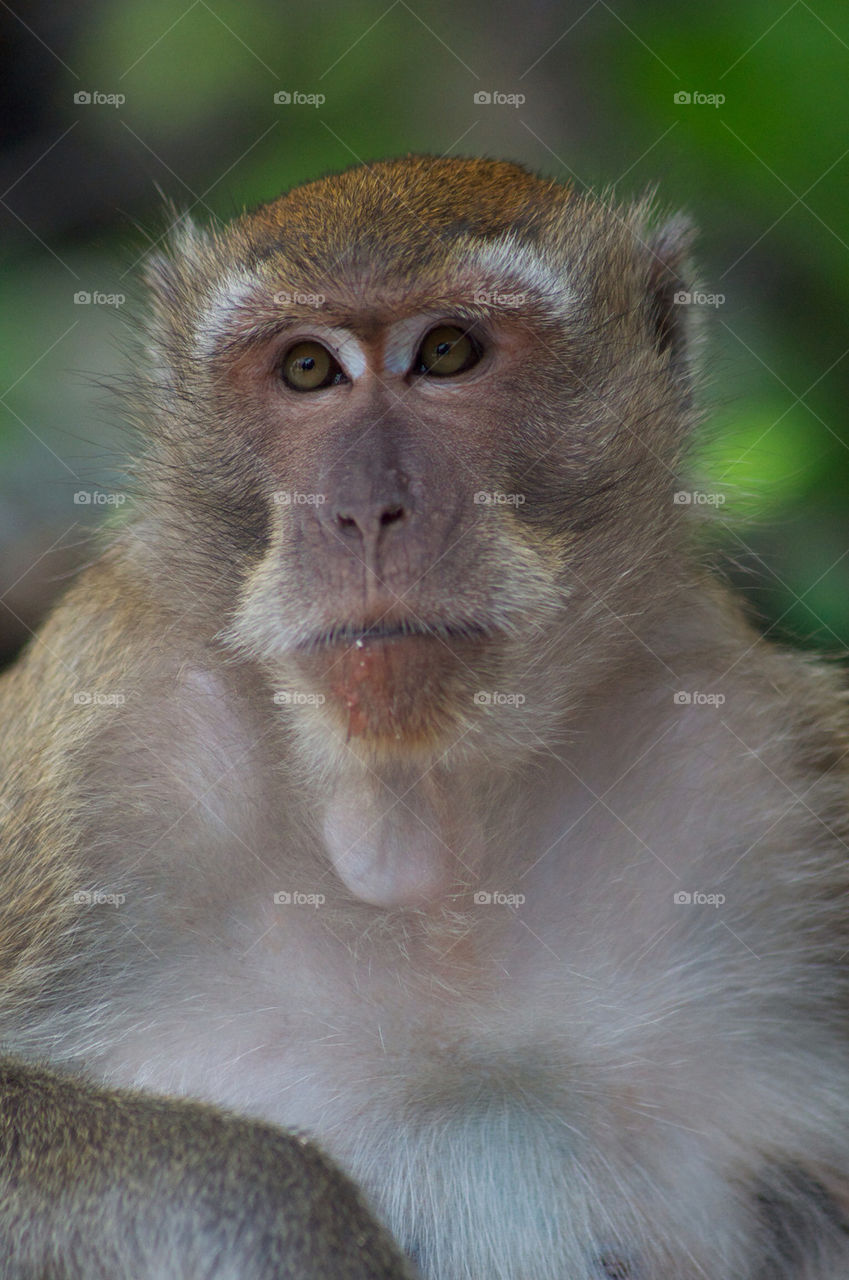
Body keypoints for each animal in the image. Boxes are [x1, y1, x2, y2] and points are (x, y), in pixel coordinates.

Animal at [2, 153, 849, 1279]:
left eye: (448, 352)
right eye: (307, 369)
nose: (365, 511)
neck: (430, 833)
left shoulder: (770, 765)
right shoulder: (106, 735)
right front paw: (296, 1221)